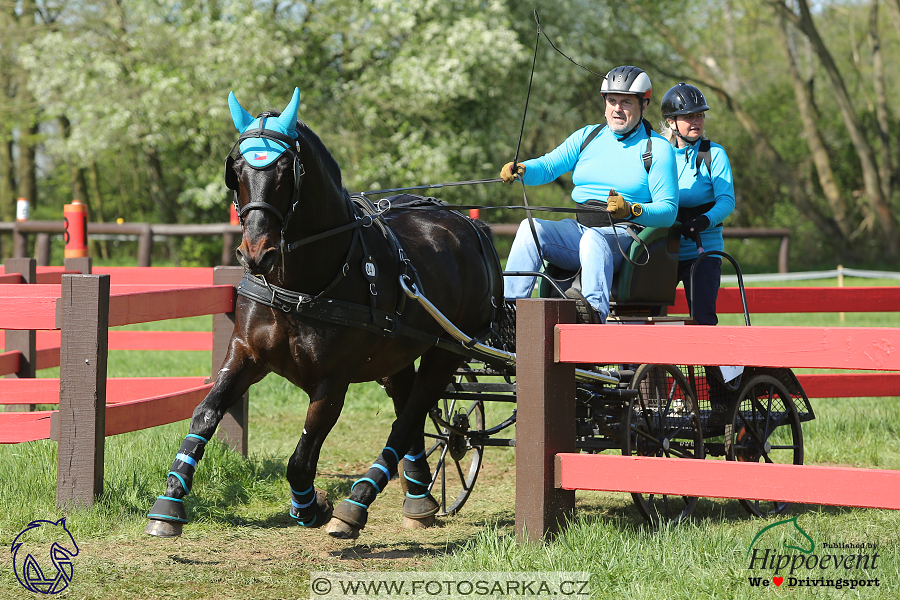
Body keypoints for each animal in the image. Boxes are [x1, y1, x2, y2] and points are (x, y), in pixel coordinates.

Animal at [144, 88, 502, 540]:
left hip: (447, 351)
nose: (255, 254)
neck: (300, 286)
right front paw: (169, 502)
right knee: (408, 409)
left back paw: (357, 503)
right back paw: (418, 497)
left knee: (411, 416)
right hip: (398, 355)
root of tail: (469, 226)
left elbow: (300, 459)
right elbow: (204, 414)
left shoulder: (332, 382)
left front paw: (312, 507)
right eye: (237, 170)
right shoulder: (245, 354)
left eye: (285, 172)